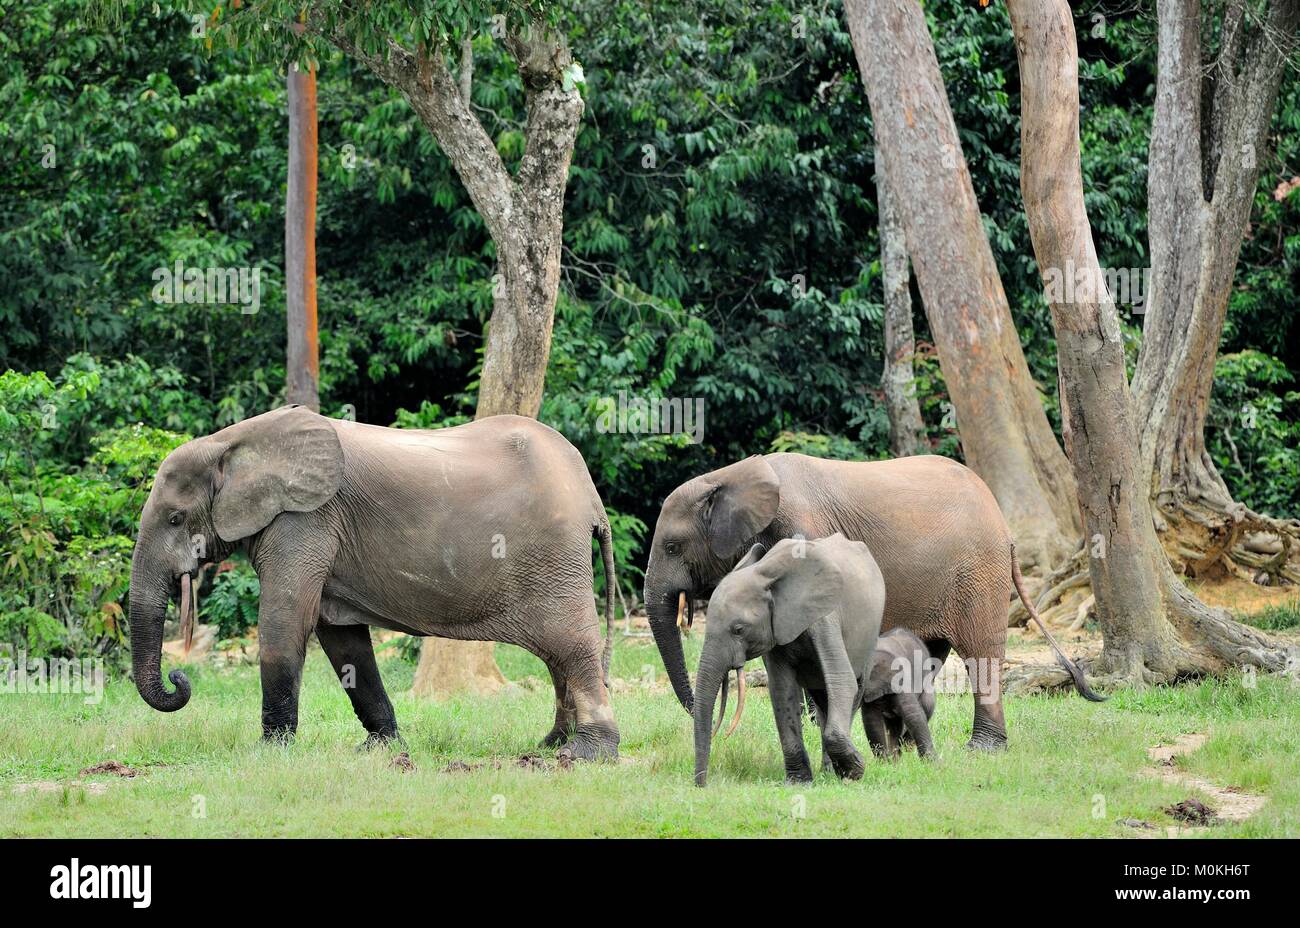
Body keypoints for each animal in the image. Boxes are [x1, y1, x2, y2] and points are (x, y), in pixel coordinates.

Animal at [128, 404, 620, 759]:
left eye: (175, 519)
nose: (178, 677)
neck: (228, 444)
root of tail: (591, 496)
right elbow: (343, 641)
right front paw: (380, 749)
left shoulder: (304, 520)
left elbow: (285, 622)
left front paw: (267, 753)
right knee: (557, 655)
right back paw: (551, 744)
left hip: (555, 556)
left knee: (573, 646)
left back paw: (586, 755)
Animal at [693, 534, 885, 786]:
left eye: (738, 629)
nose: (701, 785)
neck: (766, 574)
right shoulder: (775, 629)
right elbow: (782, 690)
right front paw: (799, 782)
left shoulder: (826, 617)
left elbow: (842, 682)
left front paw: (854, 771)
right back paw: (827, 772)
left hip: (872, 634)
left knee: (853, 690)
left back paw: (835, 772)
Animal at [859, 628, 939, 759]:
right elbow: (872, 720)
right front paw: (884, 762)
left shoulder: (900, 680)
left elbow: (913, 715)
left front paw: (931, 761)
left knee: (926, 706)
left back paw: (905, 751)